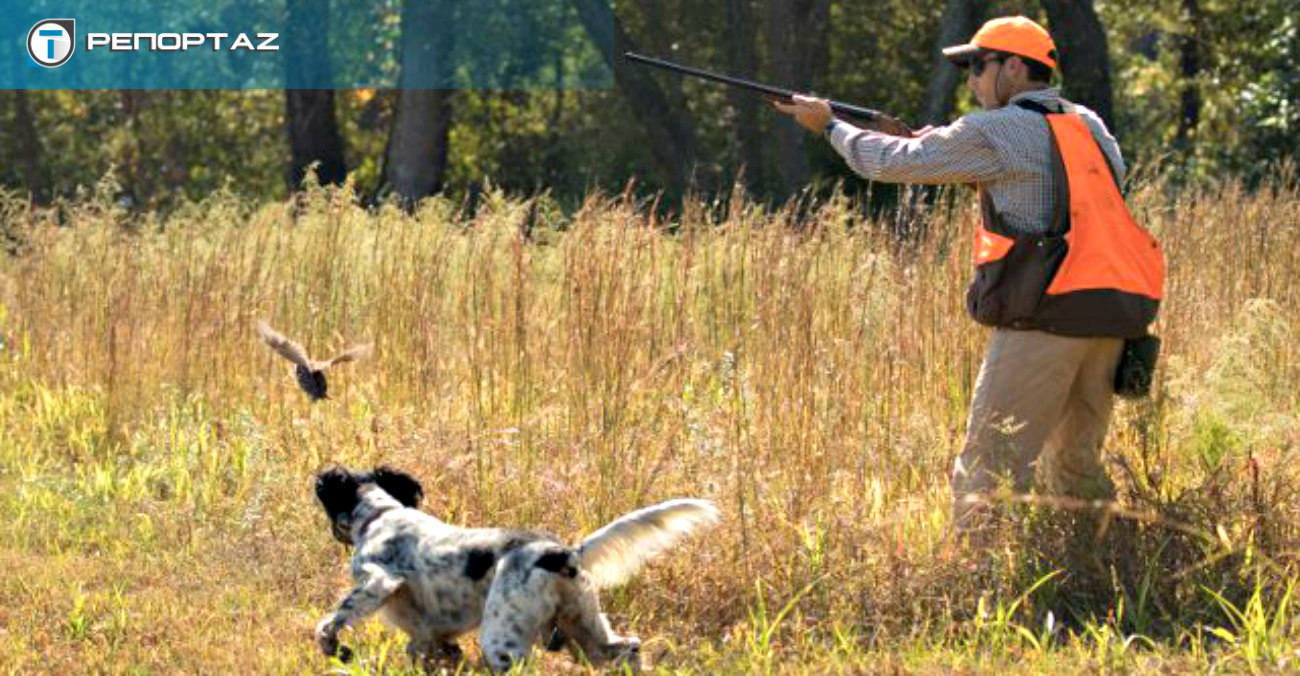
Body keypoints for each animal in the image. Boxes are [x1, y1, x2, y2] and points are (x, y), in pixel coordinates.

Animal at [314, 465, 722, 670]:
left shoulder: (378, 580)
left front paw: (337, 650)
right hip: (585, 628)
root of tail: (563, 553)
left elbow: (328, 624)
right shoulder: (428, 636)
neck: (381, 513)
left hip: (503, 641)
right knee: (627, 648)